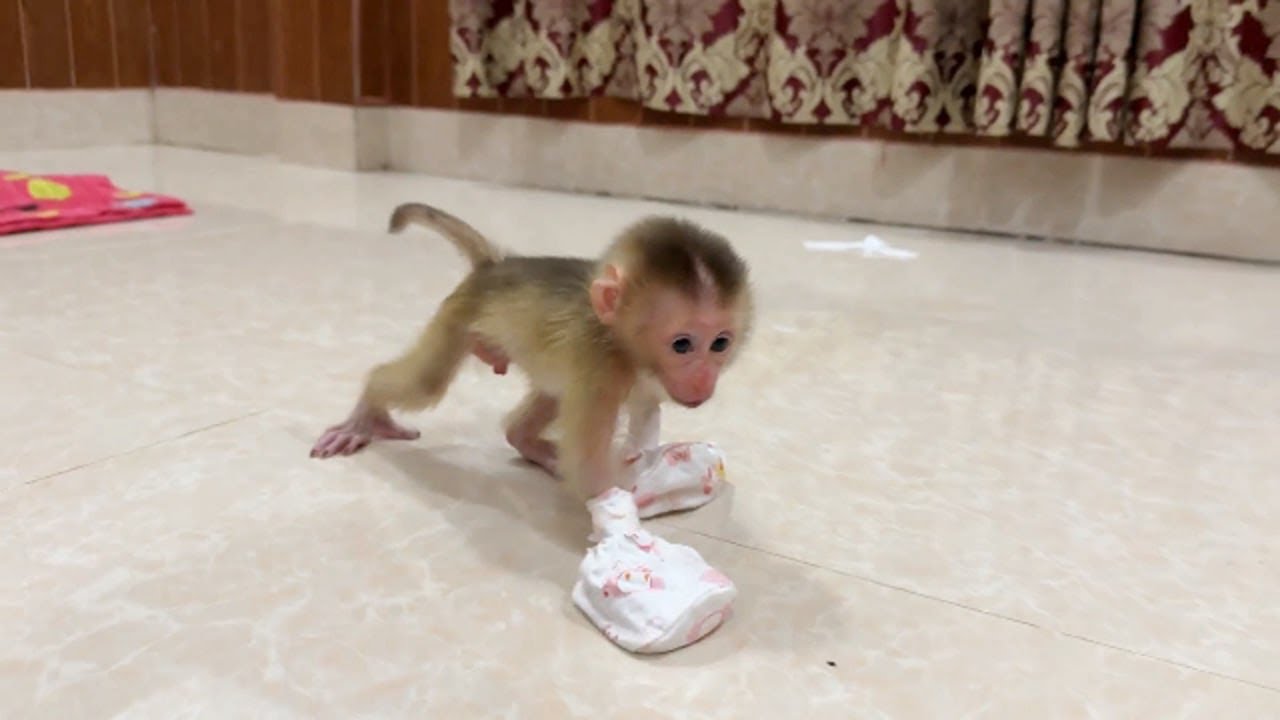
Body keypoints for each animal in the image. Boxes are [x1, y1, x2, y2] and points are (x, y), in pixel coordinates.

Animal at [310, 203, 753, 503]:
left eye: (720, 343)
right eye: (682, 344)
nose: (703, 377)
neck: (622, 344)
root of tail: (496, 265)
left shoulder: (643, 380)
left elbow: (642, 417)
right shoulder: (602, 368)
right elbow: (589, 471)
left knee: (550, 395)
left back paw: (525, 440)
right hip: (459, 317)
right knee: (425, 383)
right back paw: (367, 415)